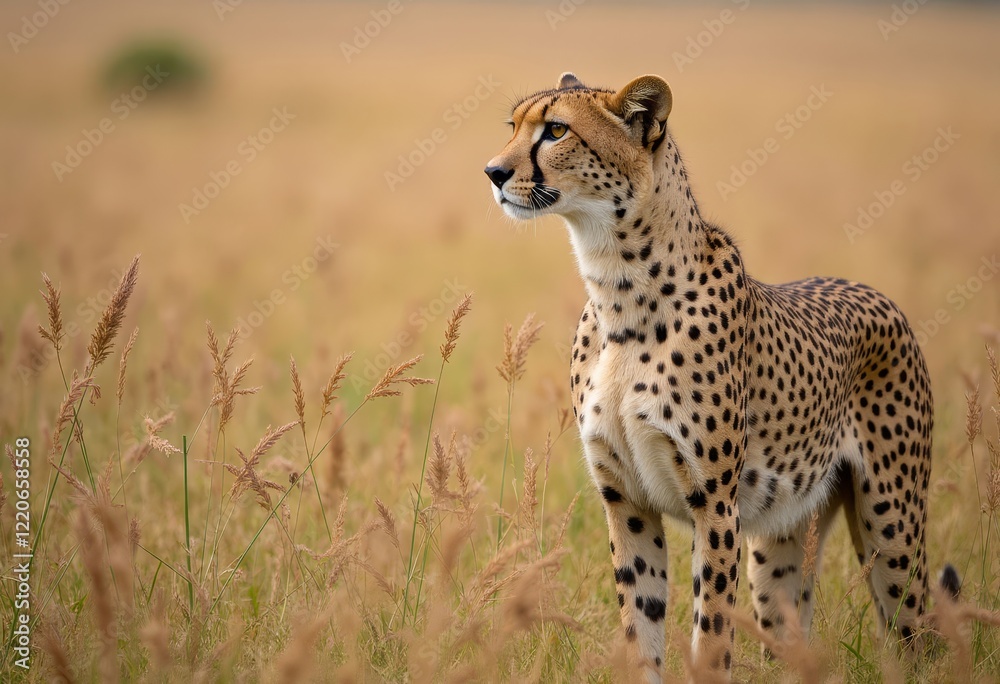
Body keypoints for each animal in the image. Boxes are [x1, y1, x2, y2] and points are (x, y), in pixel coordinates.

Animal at [484, 72, 959, 682]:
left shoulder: (715, 504)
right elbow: (640, 626)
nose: (493, 172)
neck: (618, 288)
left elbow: (710, 632)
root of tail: (872, 291)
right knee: (791, 635)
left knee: (916, 634)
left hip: (891, 522)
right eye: (514, 126)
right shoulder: (625, 500)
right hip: (780, 540)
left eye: (557, 130)